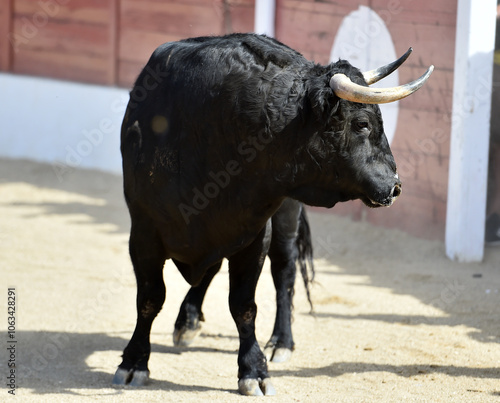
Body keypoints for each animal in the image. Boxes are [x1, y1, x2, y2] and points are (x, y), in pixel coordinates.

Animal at [113, 33, 434, 396]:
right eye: (362, 123)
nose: (395, 186)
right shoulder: (144, 232)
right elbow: (150, 298)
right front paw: (133, 362)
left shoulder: (254, 234)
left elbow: (243, 305)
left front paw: (253, 370)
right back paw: (188, 320)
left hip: (284, 217)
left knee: (284, 271)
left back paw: (281, 341)